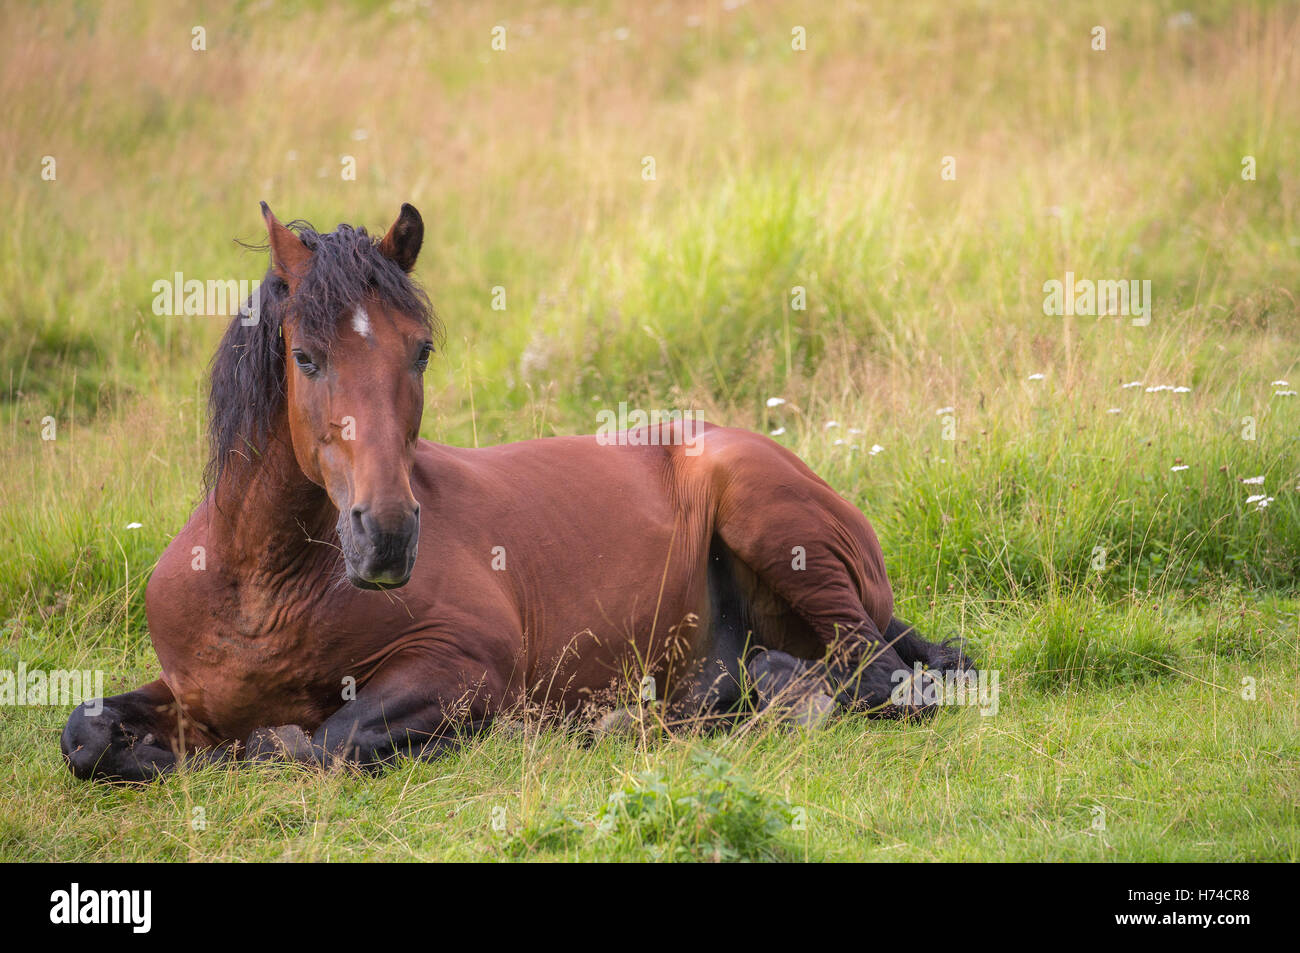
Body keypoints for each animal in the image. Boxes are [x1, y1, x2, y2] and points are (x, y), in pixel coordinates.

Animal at [63, 200, 977, 780]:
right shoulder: (185, 692)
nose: (387, 536)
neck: (261, 585)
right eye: (306, 356)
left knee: (881, 679)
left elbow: (324, 739)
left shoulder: (465, 662)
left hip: (774, 525)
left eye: (421, 349)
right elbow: (85, 731)